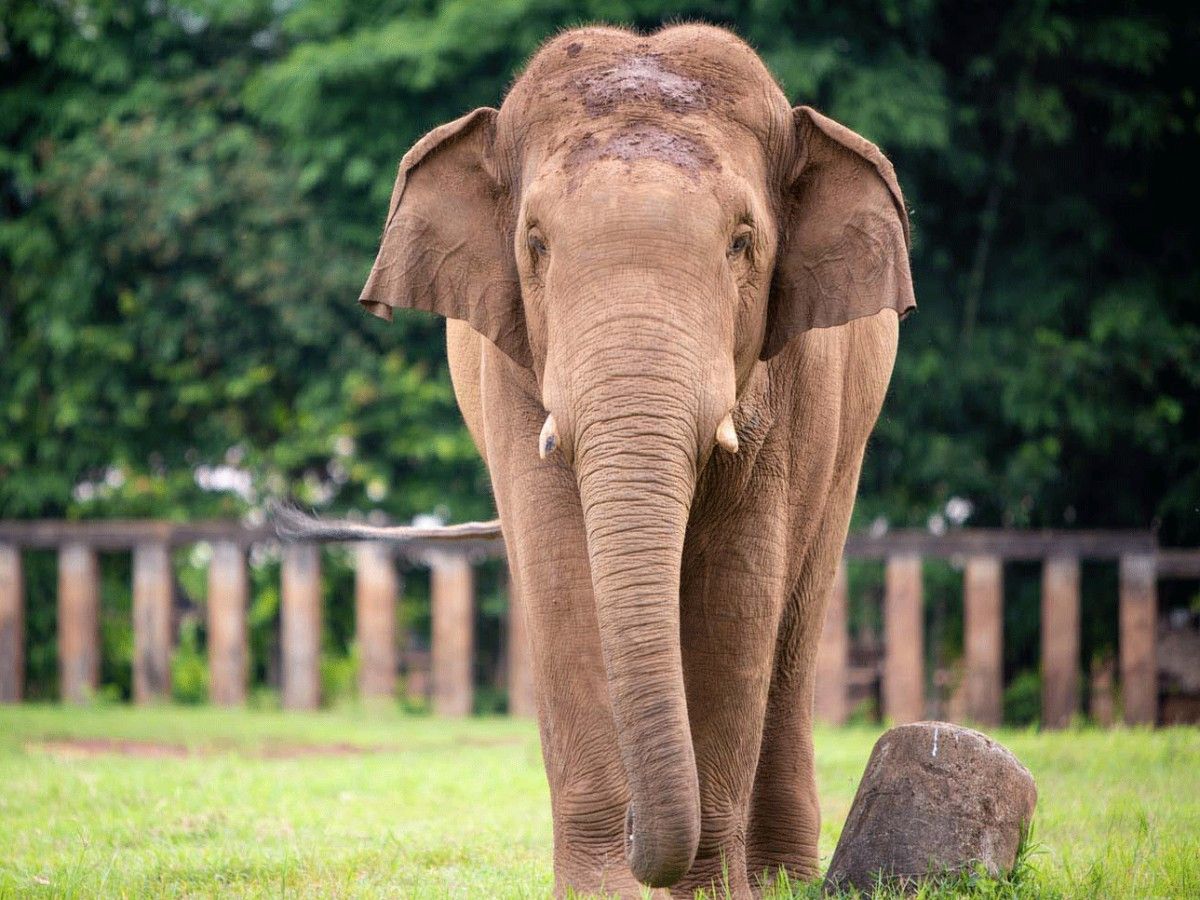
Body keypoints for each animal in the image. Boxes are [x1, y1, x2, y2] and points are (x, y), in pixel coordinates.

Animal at [356, 23, 913, 898]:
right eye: (535, 244)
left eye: (742, 243)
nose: (631, 832)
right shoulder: (509, 369)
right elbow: (560, 575)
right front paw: (603, 887)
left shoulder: (793, 380)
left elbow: (736, 592)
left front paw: (709, 890)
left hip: (849, 433)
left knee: (793, 627)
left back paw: (780, 879)